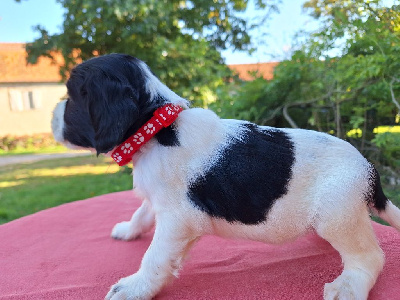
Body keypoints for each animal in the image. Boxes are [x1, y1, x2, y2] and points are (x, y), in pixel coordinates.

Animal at [52, 54, 400, 300]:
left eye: (72, 97)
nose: (53, 115)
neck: (157, 127)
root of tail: (369, 169)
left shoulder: (177, 220)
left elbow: (155, 257)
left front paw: (134, 288)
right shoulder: (160, 200)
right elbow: (142, 212)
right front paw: (128, 230)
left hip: (337, 213)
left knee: (370, 257)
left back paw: (349, 287)